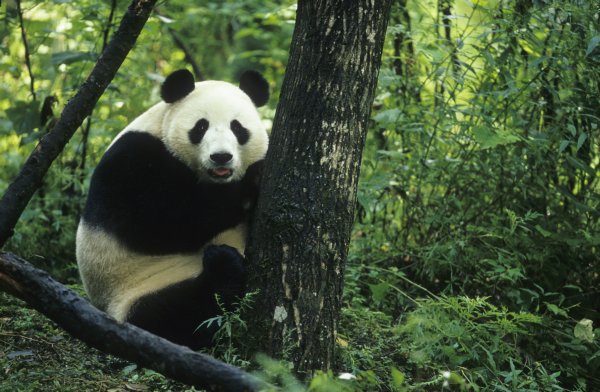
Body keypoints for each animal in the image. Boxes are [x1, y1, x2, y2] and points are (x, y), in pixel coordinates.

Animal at [76, 69, 268, 348]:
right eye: (201, 127)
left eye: (237, 127)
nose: (221, 157)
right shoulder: (131, 159)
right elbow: (161, 219)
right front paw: (253, 179)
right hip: (137, 287)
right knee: (178, 313)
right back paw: (224, 265)